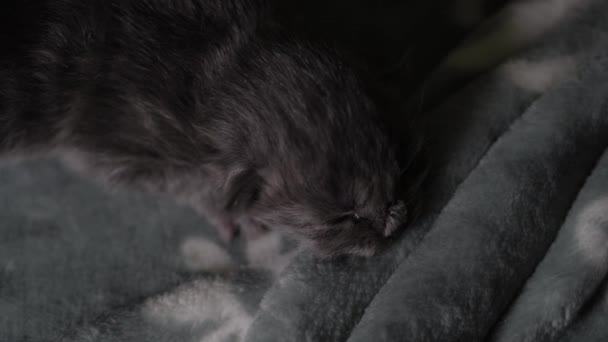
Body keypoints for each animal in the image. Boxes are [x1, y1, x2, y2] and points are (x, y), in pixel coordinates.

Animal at [0, 0, 426, 256]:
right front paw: (234, 214)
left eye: (394, 177)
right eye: (341, 219)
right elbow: (189, 184)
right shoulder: (113, 147)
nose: (390, 222)